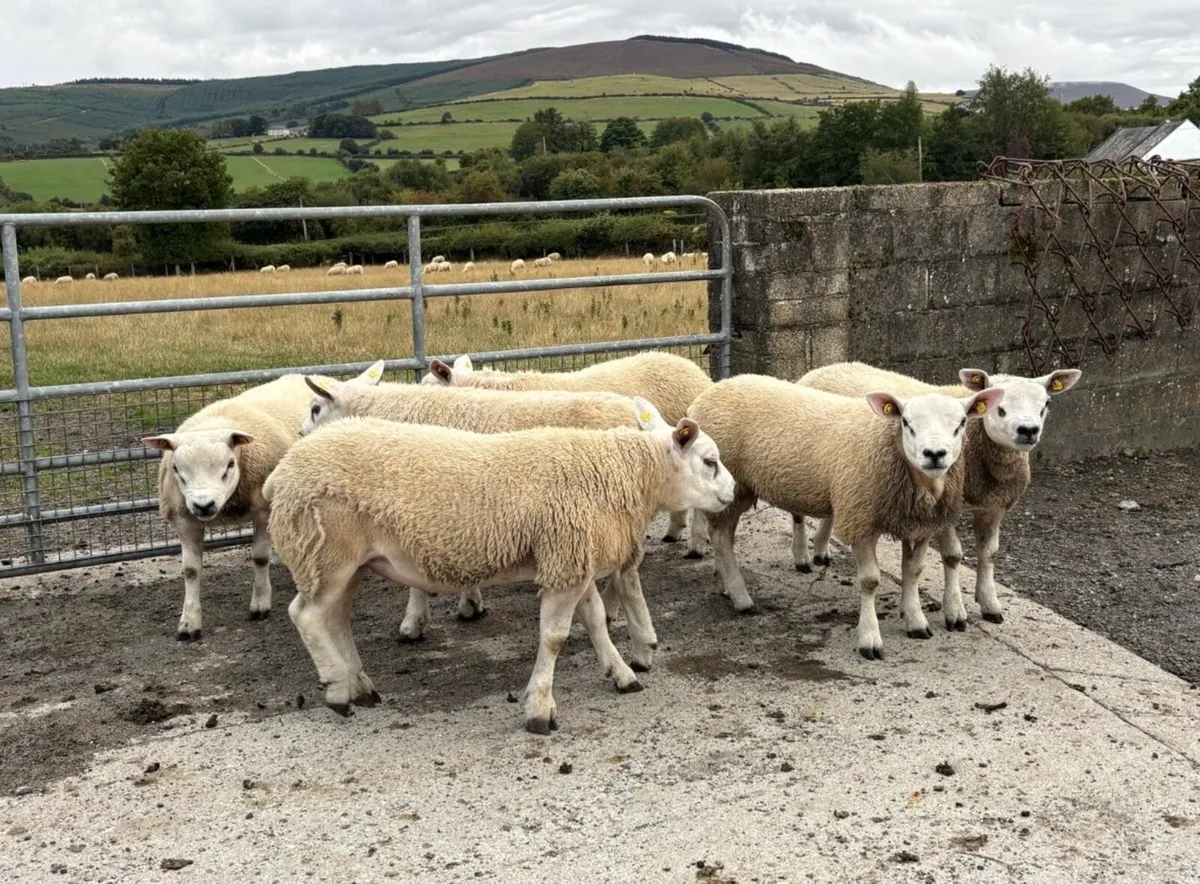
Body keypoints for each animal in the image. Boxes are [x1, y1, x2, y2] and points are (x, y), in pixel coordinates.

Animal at [141, 364, 385, 640]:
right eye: (176, 469)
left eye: (229, 465)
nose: (204, 505)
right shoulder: (185, 519)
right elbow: (191, 571)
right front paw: (189, 622)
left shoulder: (264, 511)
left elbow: (259, 557)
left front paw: (260, 604)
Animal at [262, 405, 736, 730]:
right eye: (709, 461)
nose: (733, 491)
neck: (622, 475)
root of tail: (282, 473)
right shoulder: (565, 562)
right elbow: (555, 638)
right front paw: (540, 708)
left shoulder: (571, 559)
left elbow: (596, 621)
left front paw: (620, 674)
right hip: (326, 550)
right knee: (306, 616)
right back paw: (338, 689)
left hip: (349, 562)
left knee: (336, 619)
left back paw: (359, 685)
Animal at [687, 374, 1003, 659]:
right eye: (906, 423)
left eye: (961, 423)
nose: (934, 454)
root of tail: (705, 395)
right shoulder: (859, 517)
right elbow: (870, 581)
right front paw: (870, 639)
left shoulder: (921, 523)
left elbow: (912, 572)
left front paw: (915, 621)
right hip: (733, 486)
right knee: (721, 538)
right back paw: (741, 597)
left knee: (721, 536)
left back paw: (725, 585)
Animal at [798, 362, 1082, 629]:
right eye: (999, 408)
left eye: (1046, 403)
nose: (1028, 430)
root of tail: (830, 366)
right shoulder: (946, 507)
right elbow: (953, 556)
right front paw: (955, 611)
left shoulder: (993, 505)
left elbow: (989, 553)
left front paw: (990, 604)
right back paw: (803, 557)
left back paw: (821, 550)